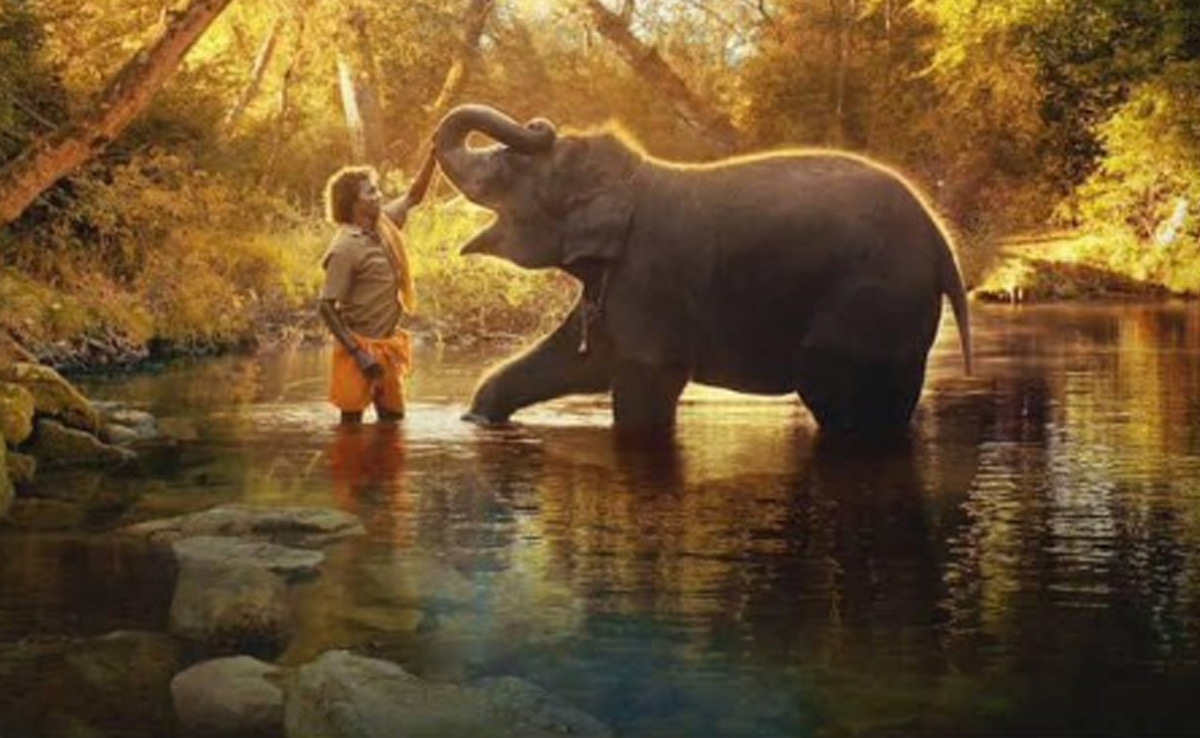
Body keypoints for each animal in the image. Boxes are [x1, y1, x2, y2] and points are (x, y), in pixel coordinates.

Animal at [433, 104, 972, 434]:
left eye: (510, 171)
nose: (539, 122)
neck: (633, 178)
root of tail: (942, 244)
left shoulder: (650, 277)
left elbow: (644, 383)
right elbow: (580, 361)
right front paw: (477, 420)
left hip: (870, 301)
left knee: (836, 394)